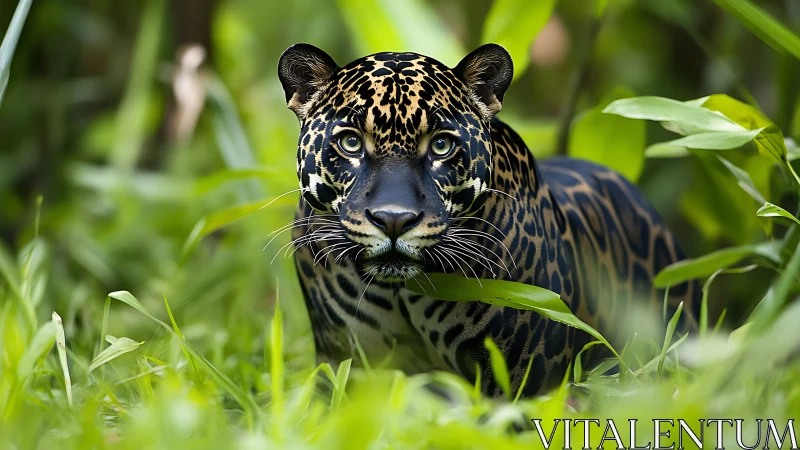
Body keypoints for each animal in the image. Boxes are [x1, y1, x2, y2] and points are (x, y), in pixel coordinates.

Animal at [276, 42, 700, 397]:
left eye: (441, 146)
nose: (394, 220)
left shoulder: (521, 377)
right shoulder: (343, 360)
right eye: (350, 142)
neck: (399, 294)